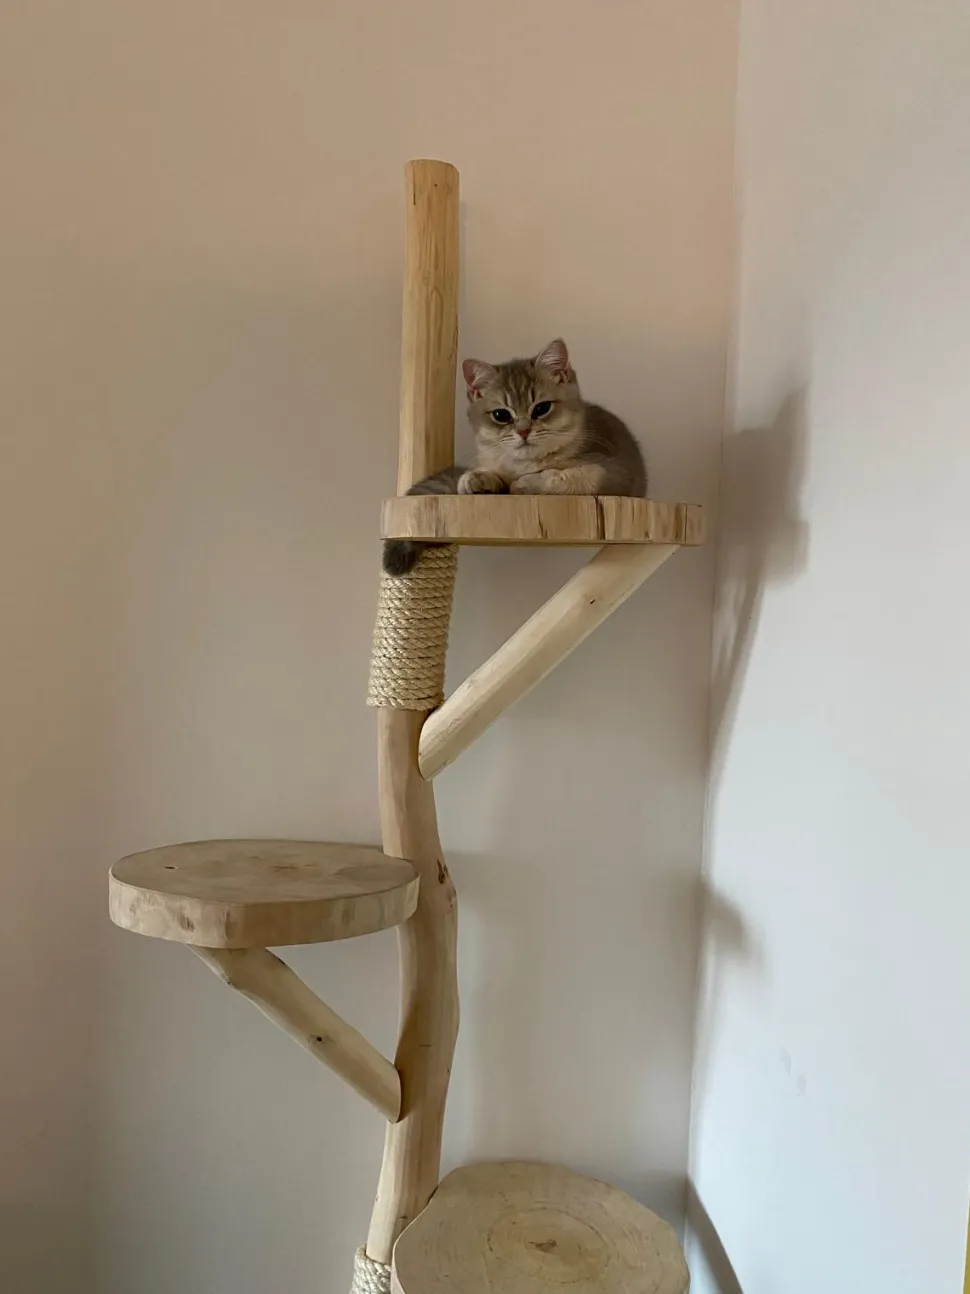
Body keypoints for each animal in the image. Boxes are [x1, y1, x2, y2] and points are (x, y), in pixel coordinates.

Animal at [382, 338, 647, 575]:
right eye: (501, 415)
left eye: (542, 408)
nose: (523, 431)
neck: (524, 464)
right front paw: (477, 479)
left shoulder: (615, 471)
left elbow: (574, 476)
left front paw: (528, 483)